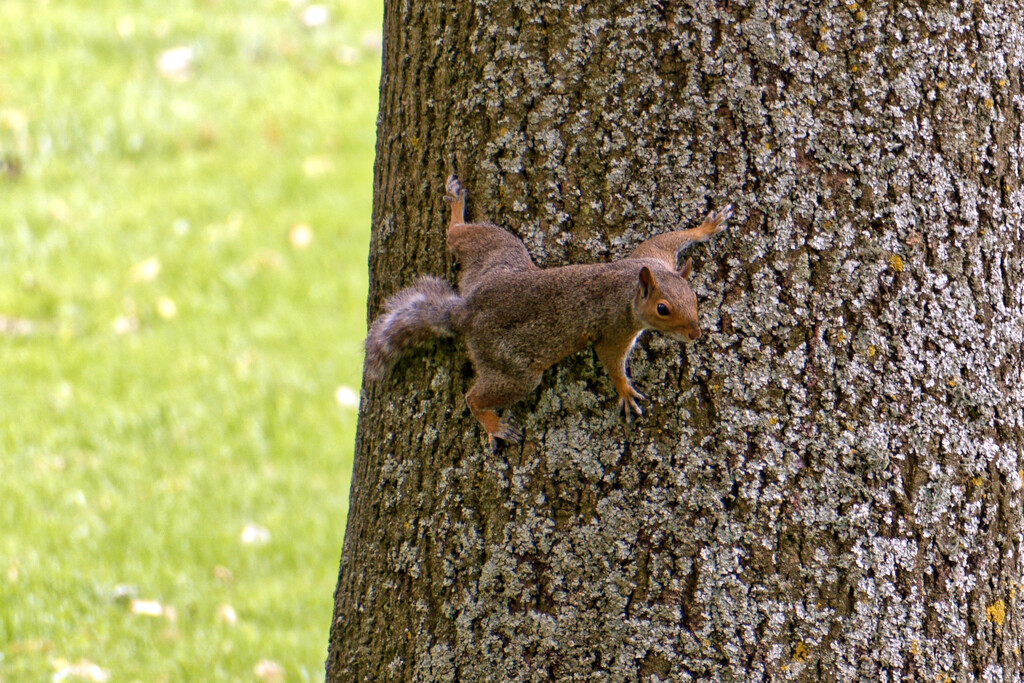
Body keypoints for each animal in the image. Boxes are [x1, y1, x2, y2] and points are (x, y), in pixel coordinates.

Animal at [364, 176, 733, 450]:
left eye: (694, 298)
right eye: (662, 309)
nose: (695, 334)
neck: (629, 287)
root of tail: (466, 309)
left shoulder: (655, 255)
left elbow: (670, 236)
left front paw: (706, 227)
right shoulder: (615, 328)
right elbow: (611, 360)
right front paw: (625, 391)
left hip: (497, 253)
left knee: (456, 236)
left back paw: (455, 203)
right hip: (512, 367)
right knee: (474, 396)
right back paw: (493, 424)